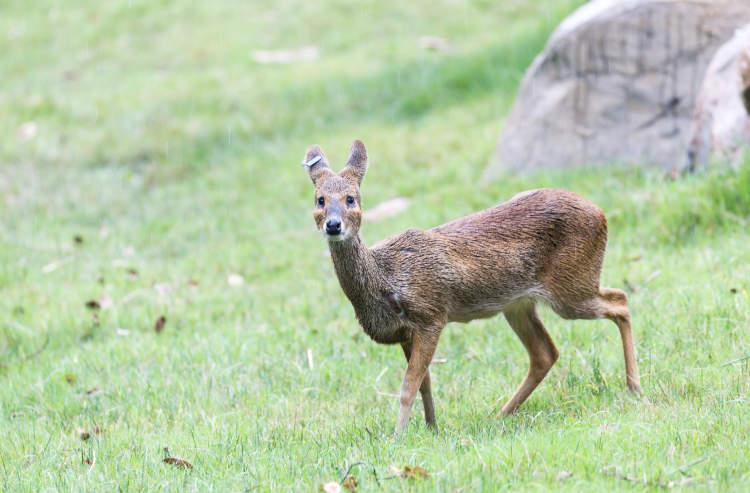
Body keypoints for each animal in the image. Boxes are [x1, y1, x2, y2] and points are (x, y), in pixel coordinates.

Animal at [302, 140, 644, 432]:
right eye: (320, 200)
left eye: (351, 199)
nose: (333, 224)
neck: (386, 280)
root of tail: (601, 213)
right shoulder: (404, 332)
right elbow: (424, 384)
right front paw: (431, 428)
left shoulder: (431, 314)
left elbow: (408, 387)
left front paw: (397, 436)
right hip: (519, 304)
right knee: (546, 352)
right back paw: (501, 414)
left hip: (571, 287)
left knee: (621, 301)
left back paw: (634, 387)